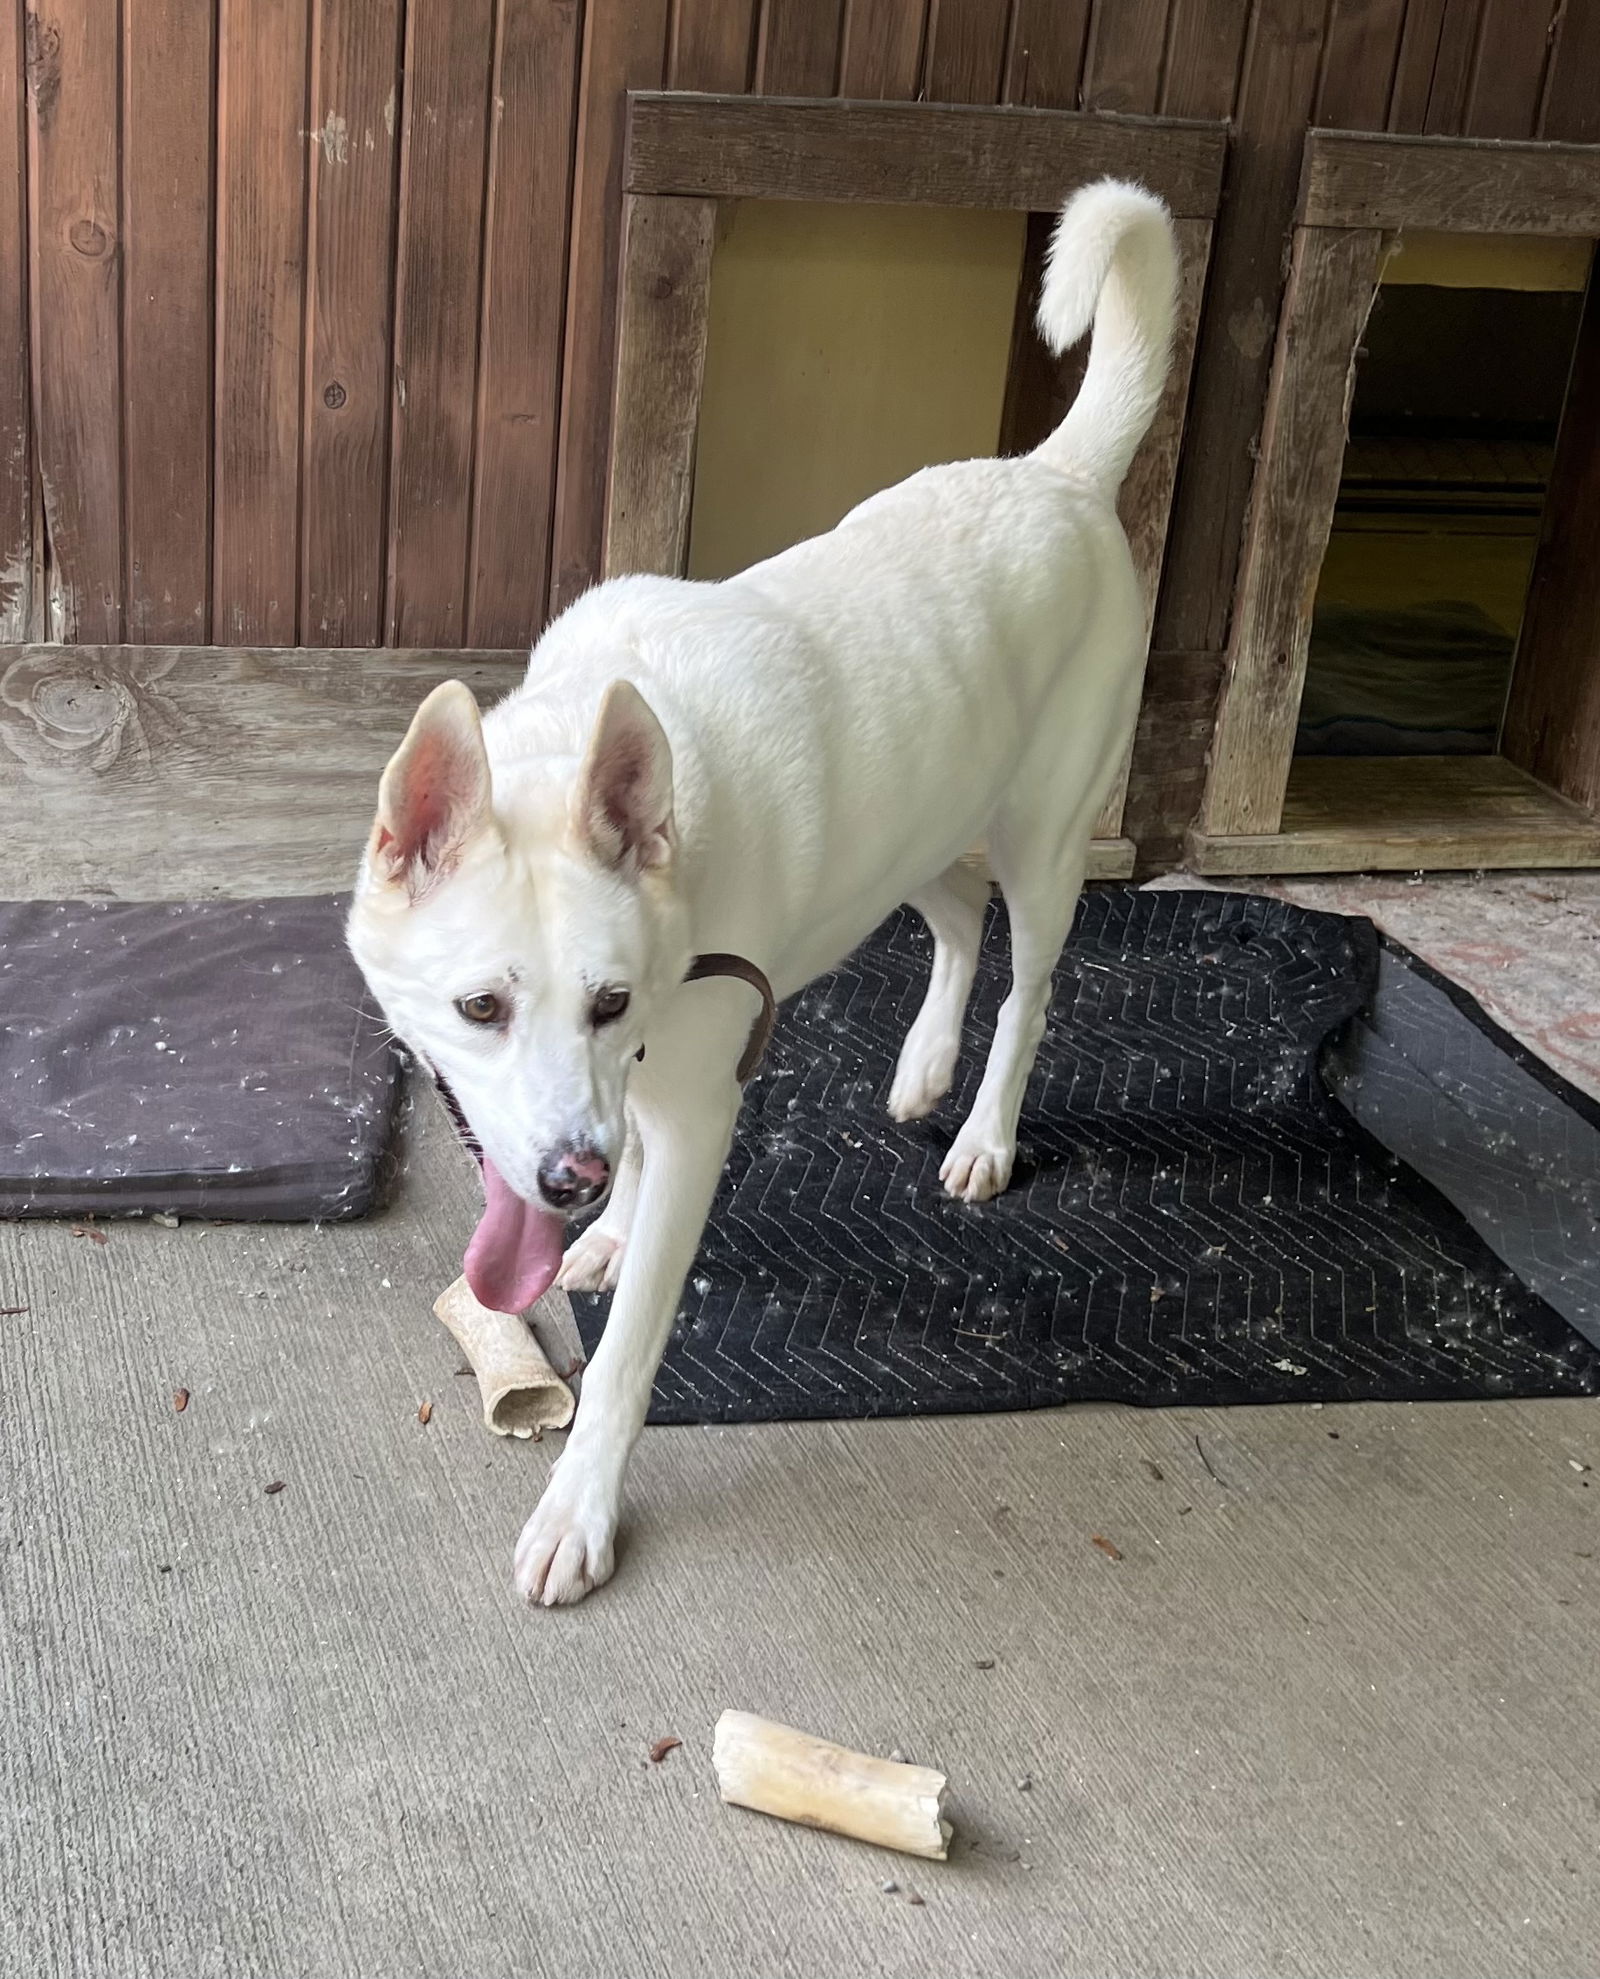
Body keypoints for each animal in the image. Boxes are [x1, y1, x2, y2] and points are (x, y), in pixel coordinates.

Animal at [350, 178, 1172, 1606]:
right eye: (478, 1008)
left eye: (608, 997)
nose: (566, 1175)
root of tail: (1056, 475)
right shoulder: (639, 1090)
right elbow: (624, 1176)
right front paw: (606, 1227)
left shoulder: (696, 1106)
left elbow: (629, 1348)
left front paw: (581, 1508)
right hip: (912, 834)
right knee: (956, 923)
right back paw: (919, 1065)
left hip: (1044, 836)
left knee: (1027, 978)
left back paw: (982, 1129)